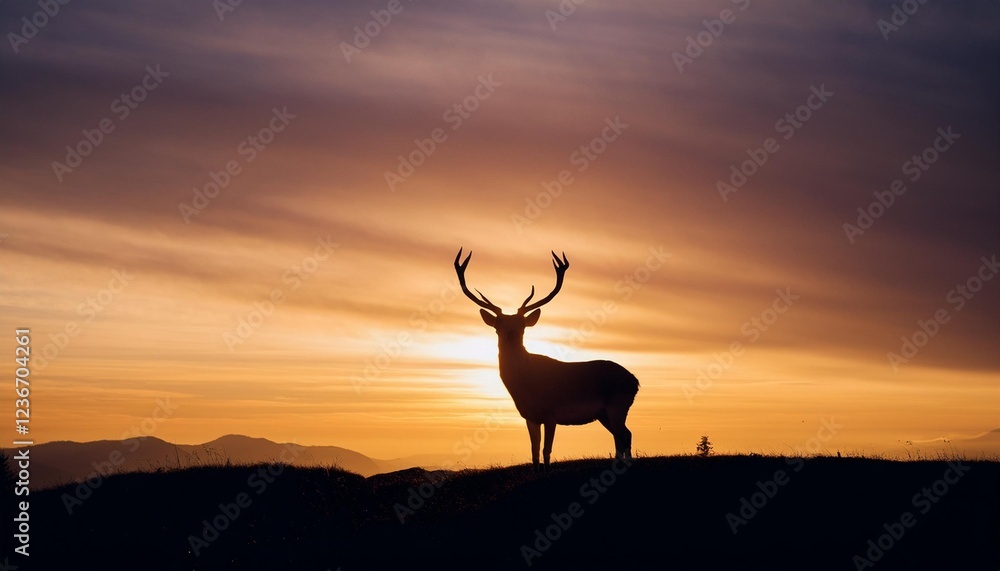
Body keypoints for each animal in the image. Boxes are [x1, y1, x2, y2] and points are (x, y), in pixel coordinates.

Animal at [454, 248, 640, 471]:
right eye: (498, 327)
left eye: (522, 326)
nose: (511, 337)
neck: (527, 386)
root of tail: (635, 381)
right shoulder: (530, 416)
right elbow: (534, 452)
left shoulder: (552, 414)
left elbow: (546, 451)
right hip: (604, 413)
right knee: (624, 435)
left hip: (617, 405)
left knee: (623, 435)